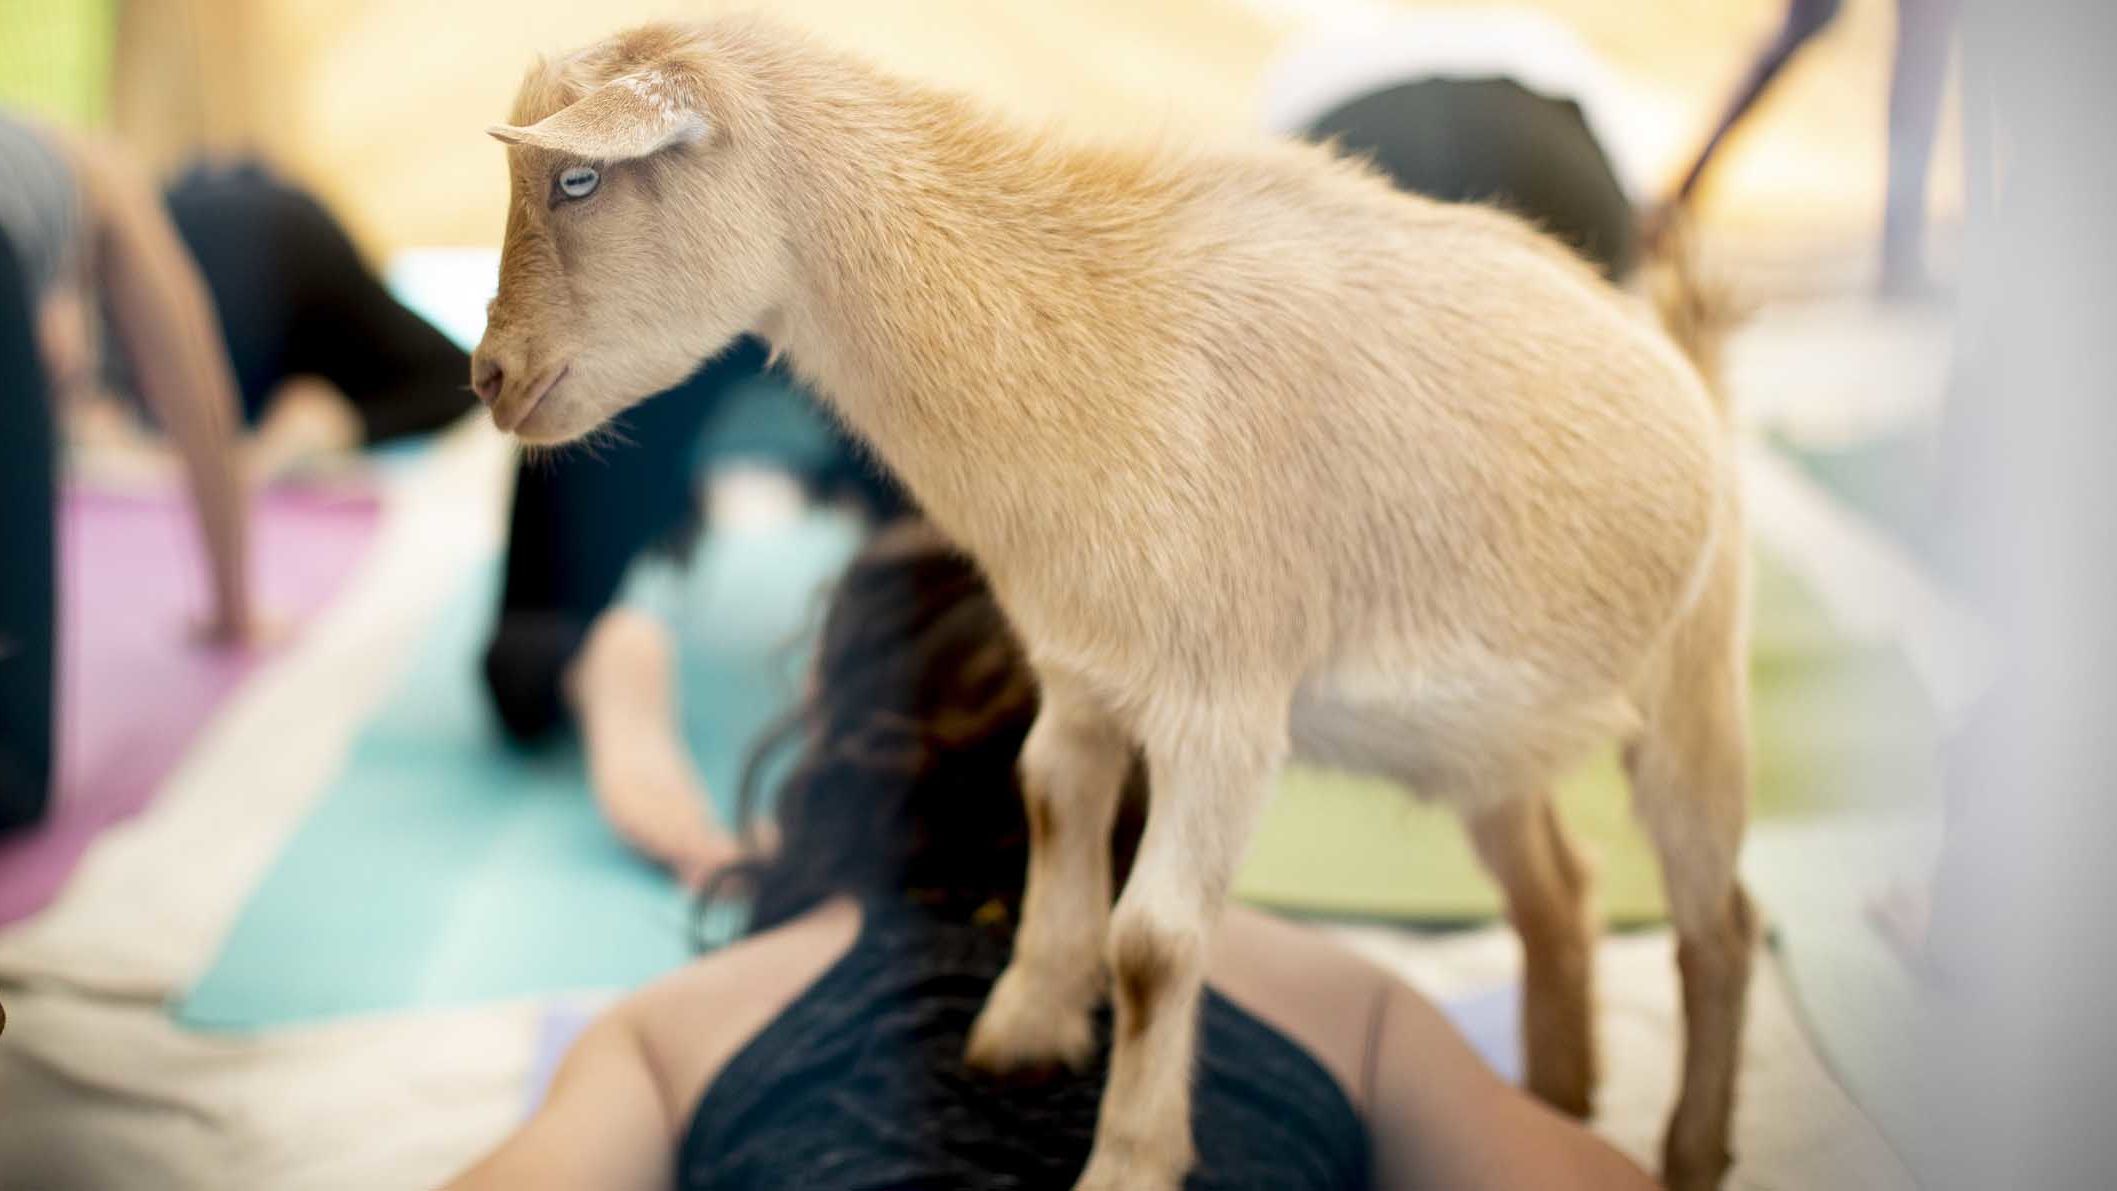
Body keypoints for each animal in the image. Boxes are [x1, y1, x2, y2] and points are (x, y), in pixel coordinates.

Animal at [480, 21, 1752, 1191]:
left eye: (578, 178)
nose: (491, 379)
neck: (1084, 334)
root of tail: (1671, 352)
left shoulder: (1226, 710)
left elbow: (1151, 946)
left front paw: (1128, 1162)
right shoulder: (1081, 675)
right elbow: (1049, 806)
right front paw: (1019, 1031)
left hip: (1688, 692)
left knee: (1716, 927)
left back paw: (1687, 1152)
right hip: (1489, 745)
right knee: (1559, 896)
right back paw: (1560, 1095)